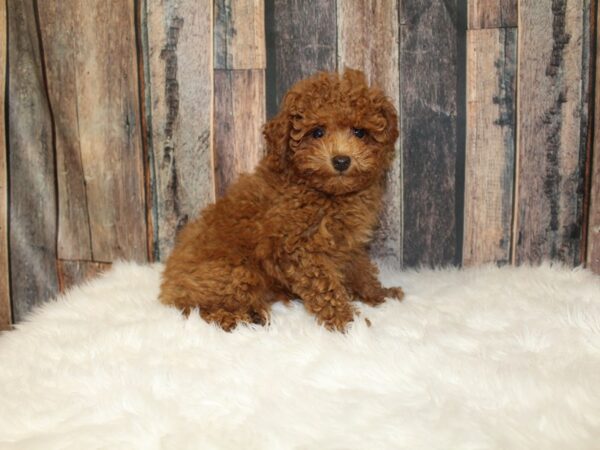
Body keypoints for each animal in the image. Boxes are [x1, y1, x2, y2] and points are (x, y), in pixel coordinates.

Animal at [159, 69, 404, 330]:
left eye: (359, 132)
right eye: (317, 132)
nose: (341, 160)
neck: (325, 192)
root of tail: (169, 286)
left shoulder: (349, 243)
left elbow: (360, 269)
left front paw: (379, 294)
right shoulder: (298, 248)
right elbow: (326, 286)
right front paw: (346, 322)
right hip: (234, 272)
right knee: (201, 310)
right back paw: (239, 317)